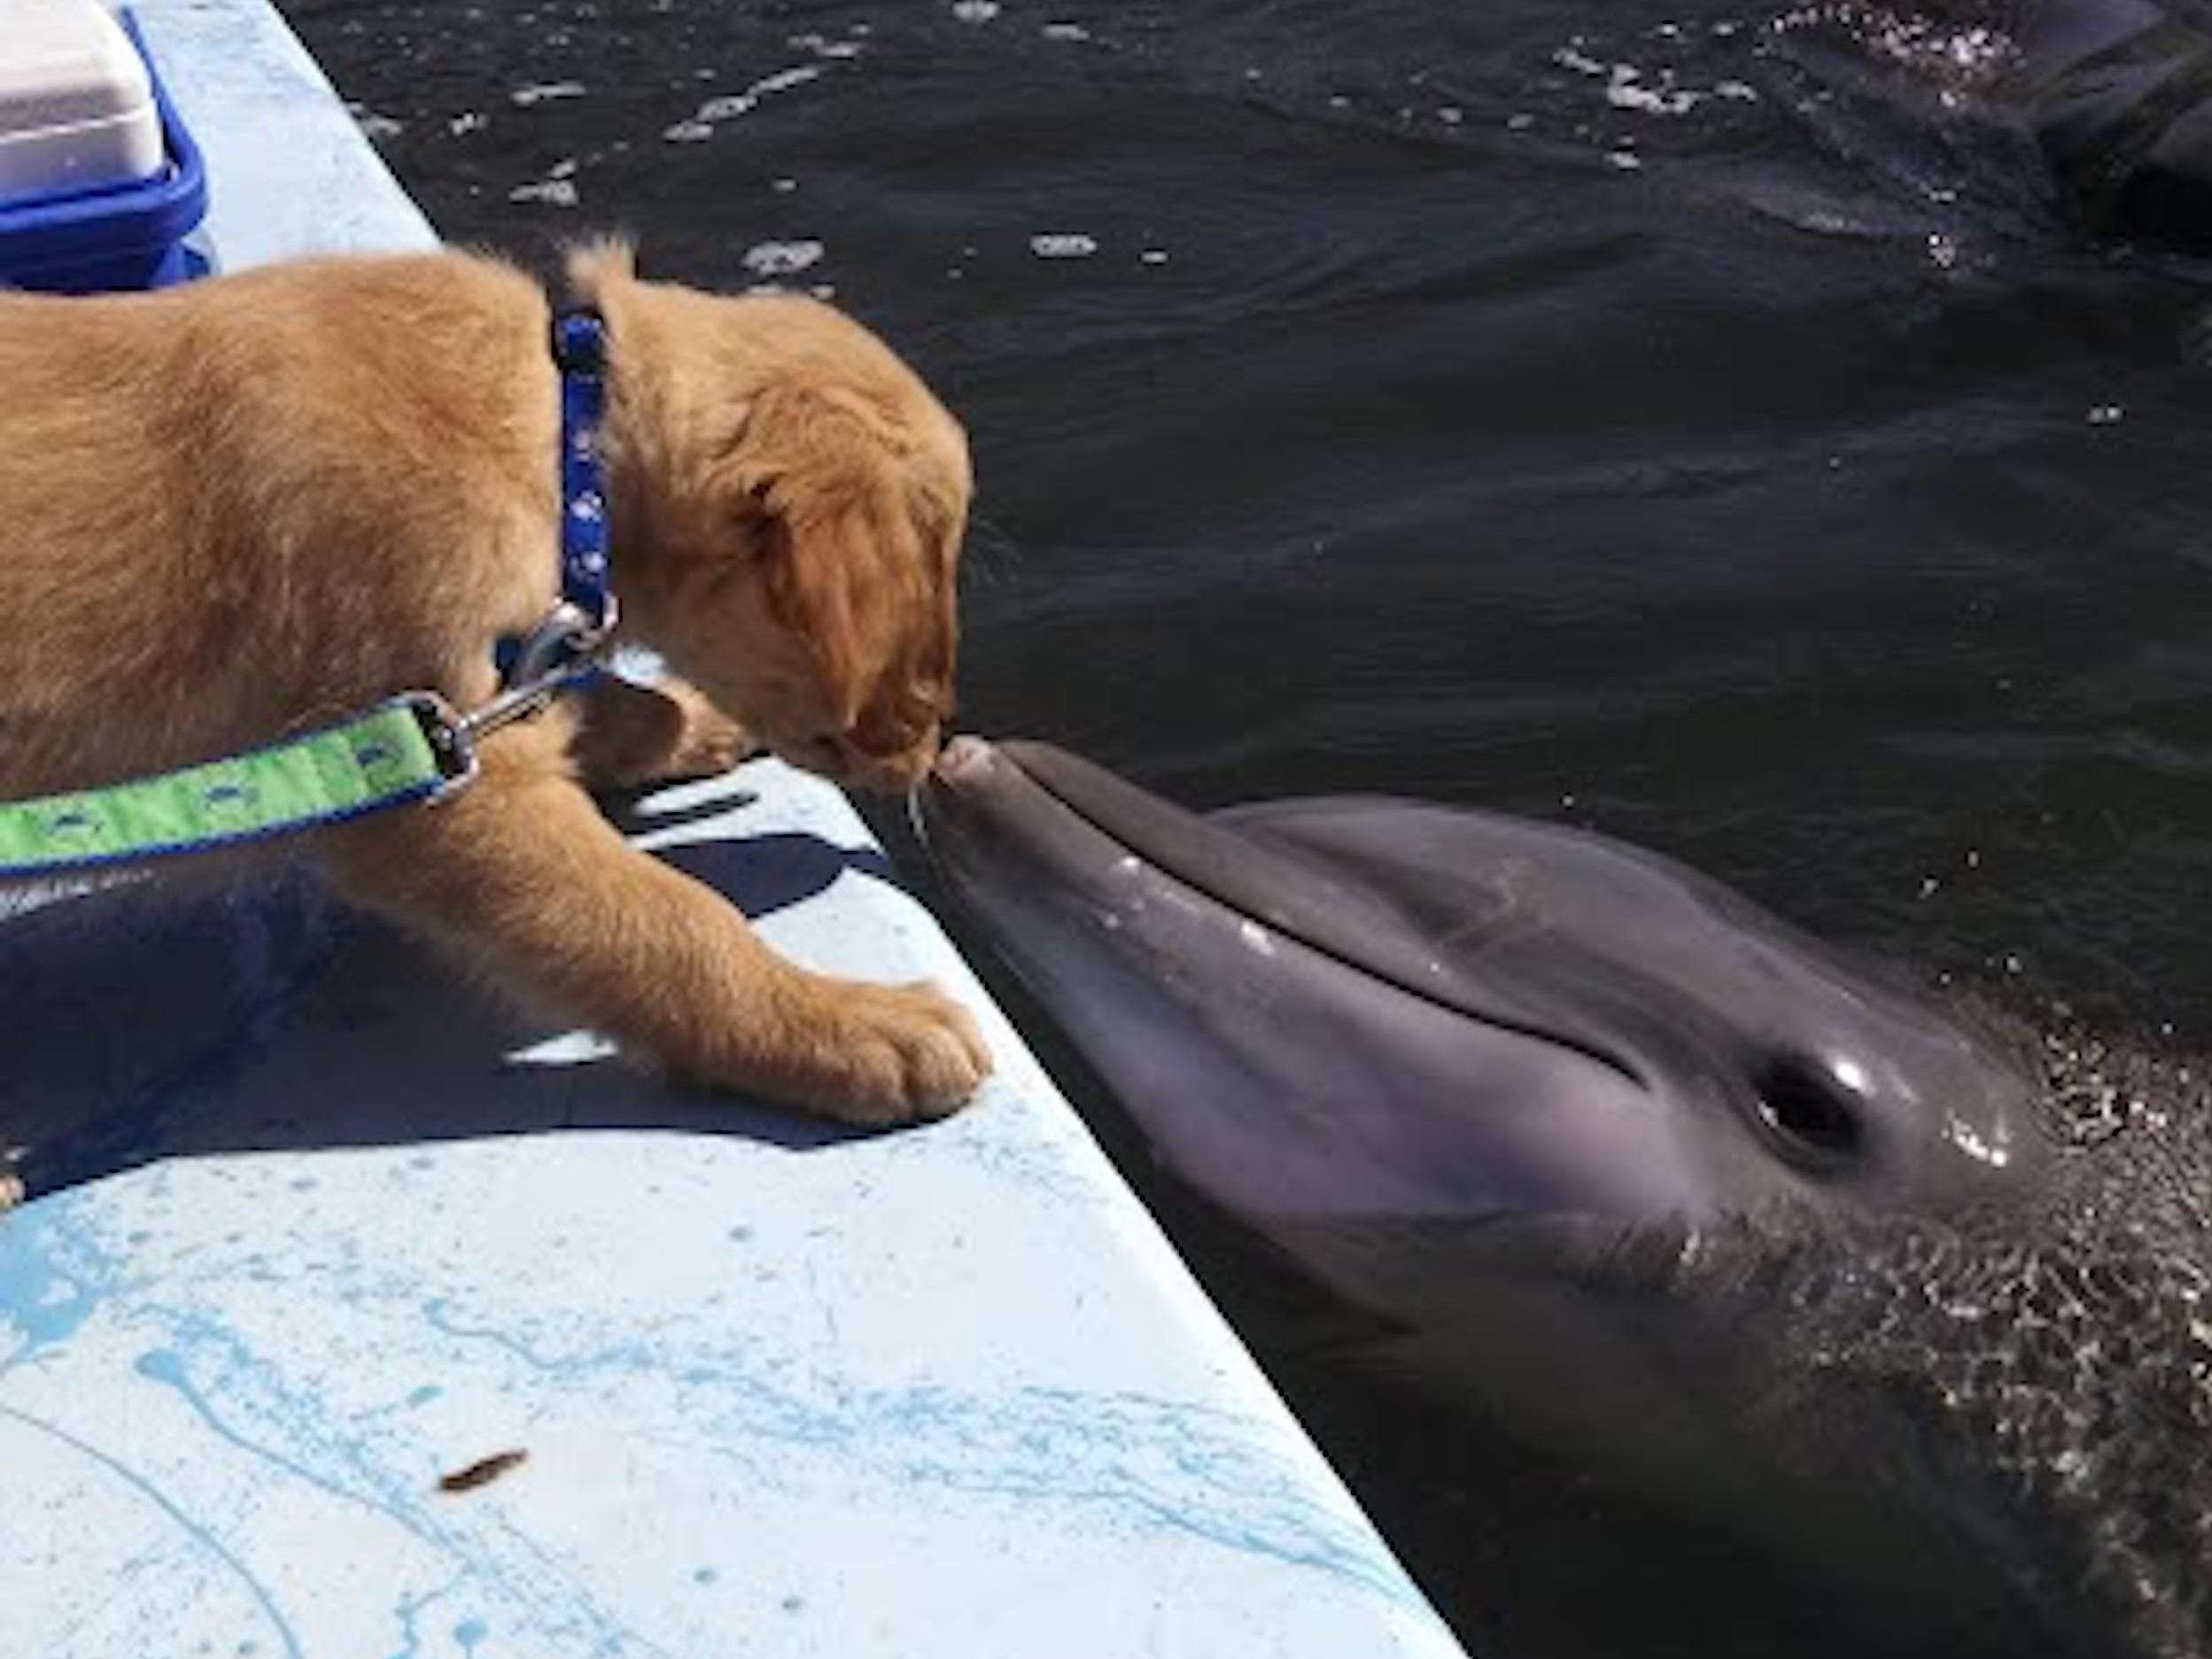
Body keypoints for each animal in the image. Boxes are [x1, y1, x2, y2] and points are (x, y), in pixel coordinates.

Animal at [0, 239, 986, 1132]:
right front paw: (849, 1023)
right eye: (924, 602)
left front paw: (693, 719)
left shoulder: (472, 703)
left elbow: (599, 701)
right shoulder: (434, 789)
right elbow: (666, 919)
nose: (938, 755)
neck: (566, 433)